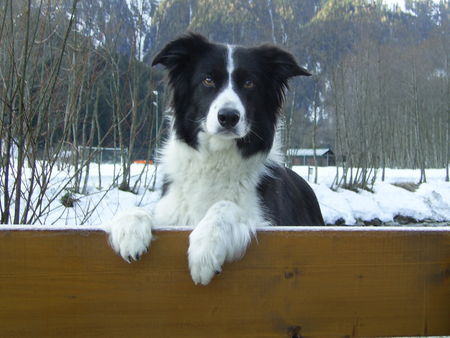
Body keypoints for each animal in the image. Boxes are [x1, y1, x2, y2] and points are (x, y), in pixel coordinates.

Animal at [105, 32, 324, 286]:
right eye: (208, 80)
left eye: (249, 83)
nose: (228, 116)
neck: (216, 159)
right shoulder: (172, 214)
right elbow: (141, 209)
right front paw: (129, 228)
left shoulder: (273, 225)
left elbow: (225, 205)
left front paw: (205, 246)